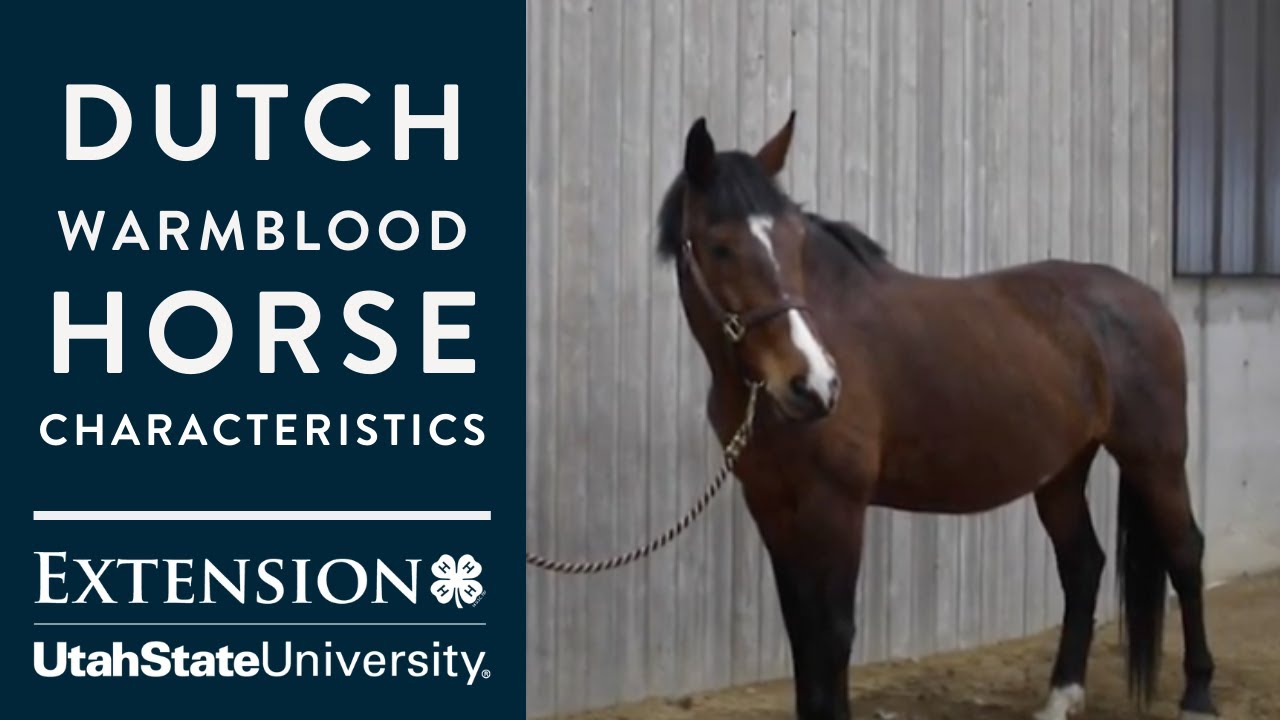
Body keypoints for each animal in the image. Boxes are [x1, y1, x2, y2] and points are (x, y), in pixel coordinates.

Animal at [656, 114, 1218, 720]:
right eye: (721, 247)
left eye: (795, 240)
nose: (815, 385)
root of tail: (1147, 301)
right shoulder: (772, 506)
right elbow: (802, 632)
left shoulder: (837, 506)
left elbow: (832, 632)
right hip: (1062, 472)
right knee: (1083, 565)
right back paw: (1060, 697)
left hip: (1155, 457)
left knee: (1185, 553)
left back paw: (1198, 696)